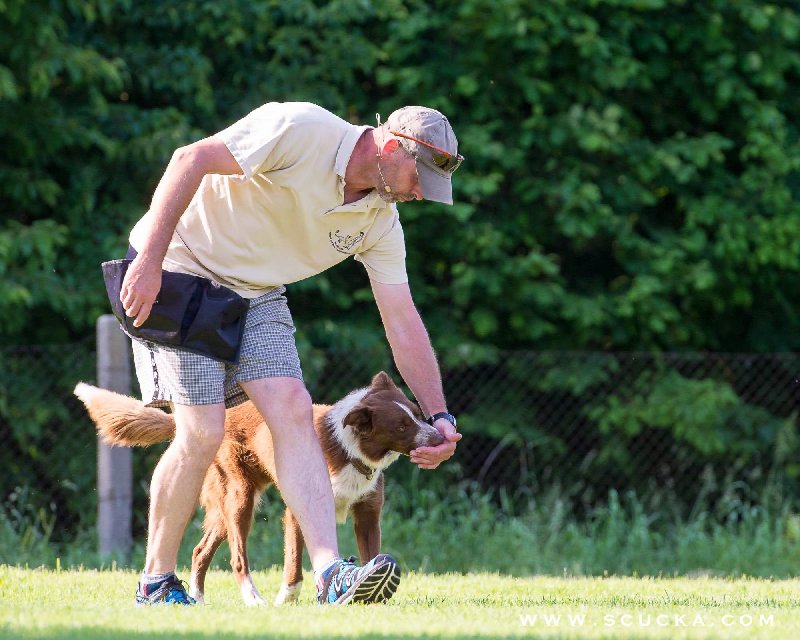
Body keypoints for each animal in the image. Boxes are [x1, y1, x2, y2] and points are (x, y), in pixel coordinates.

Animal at [74, 370, 444, 604]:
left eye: (416, 412)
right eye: (401, 425)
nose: (440, 438)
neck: (348, 448)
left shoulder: (367, 512)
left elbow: (371, 551)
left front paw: (373, 587)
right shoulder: (296, 511)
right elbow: (294, 560)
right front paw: (288, 599)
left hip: (226, 507)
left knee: (200, 550)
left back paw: (198, 598)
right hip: (239, 497)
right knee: (237, 557)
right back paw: (252, 599)